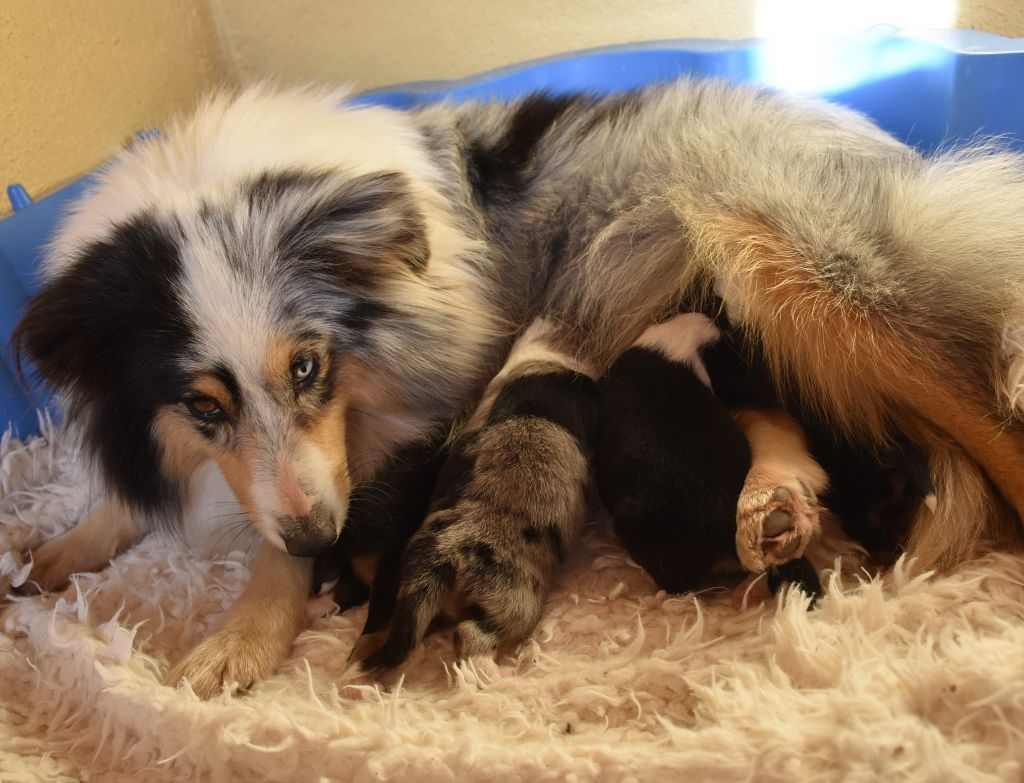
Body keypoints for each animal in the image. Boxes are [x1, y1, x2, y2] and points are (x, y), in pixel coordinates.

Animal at [12, 80, 1024, 696]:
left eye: (307, 366)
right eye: (201, 406)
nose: (322, 538)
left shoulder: (396, 415)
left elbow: (280, 532)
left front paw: (238, 638)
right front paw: (59, 548)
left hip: (791, 258)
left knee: (978, 403)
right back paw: (773, 510)